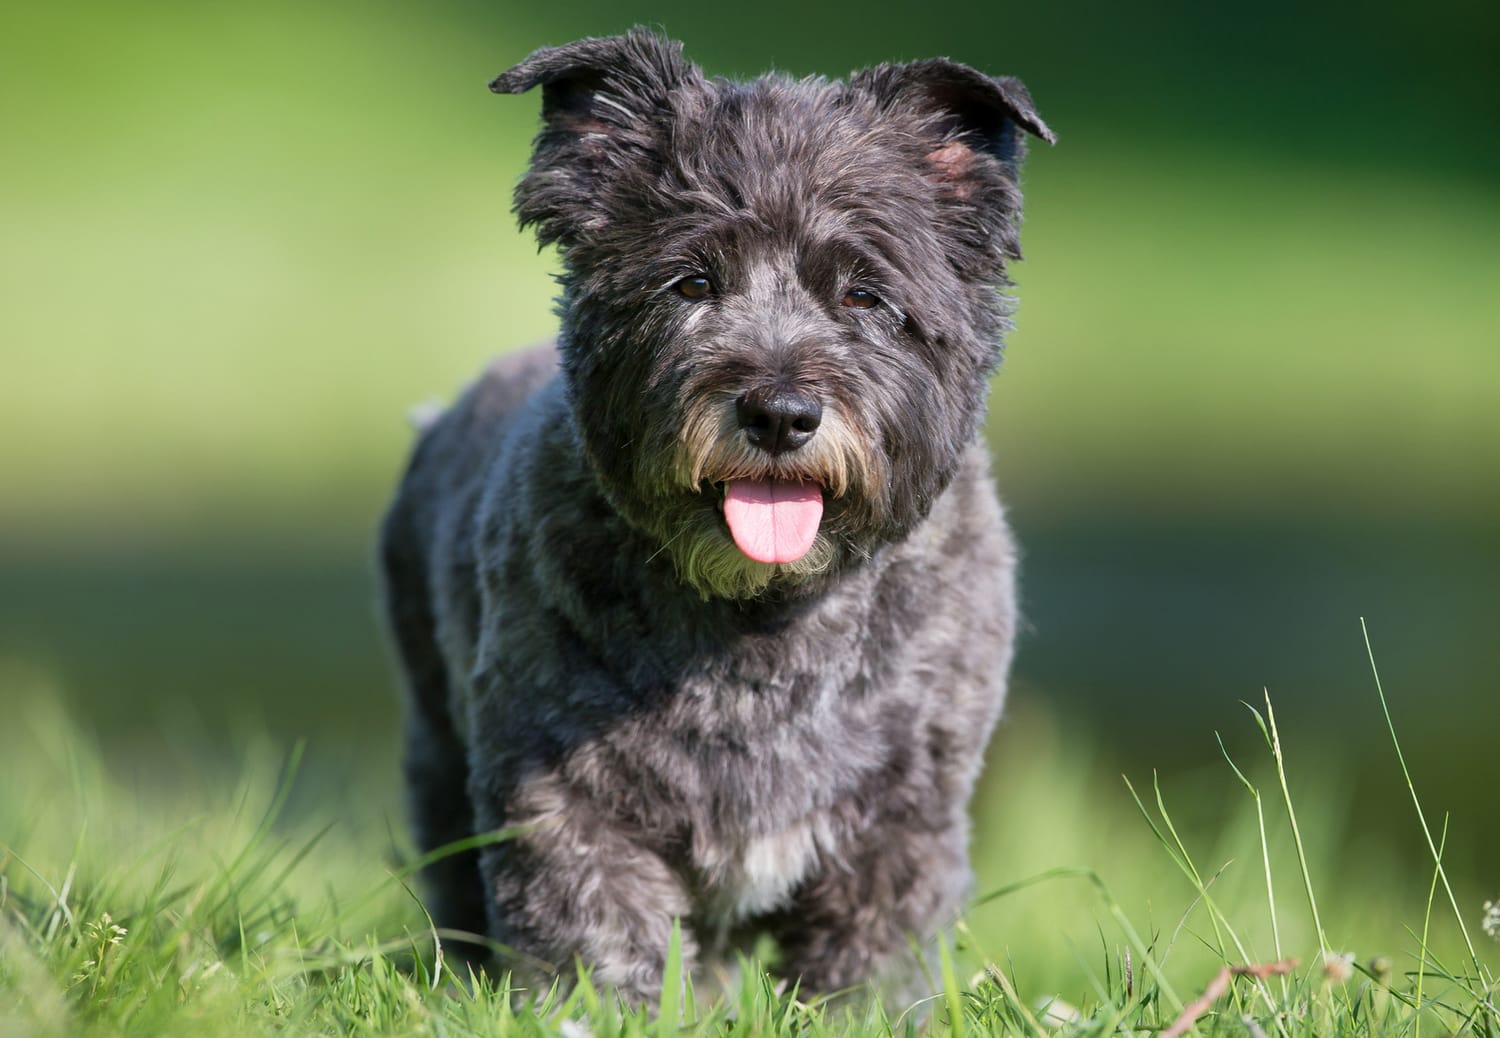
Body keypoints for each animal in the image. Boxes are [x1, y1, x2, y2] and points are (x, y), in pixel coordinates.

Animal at [378, 30, 1056, 1008]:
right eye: (691, 281)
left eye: (863, 294)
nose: (778, 413)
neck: (765, 619)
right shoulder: (566, 799)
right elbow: (596, 936)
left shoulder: (902, 818)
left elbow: (872, 961)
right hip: (437, 744)